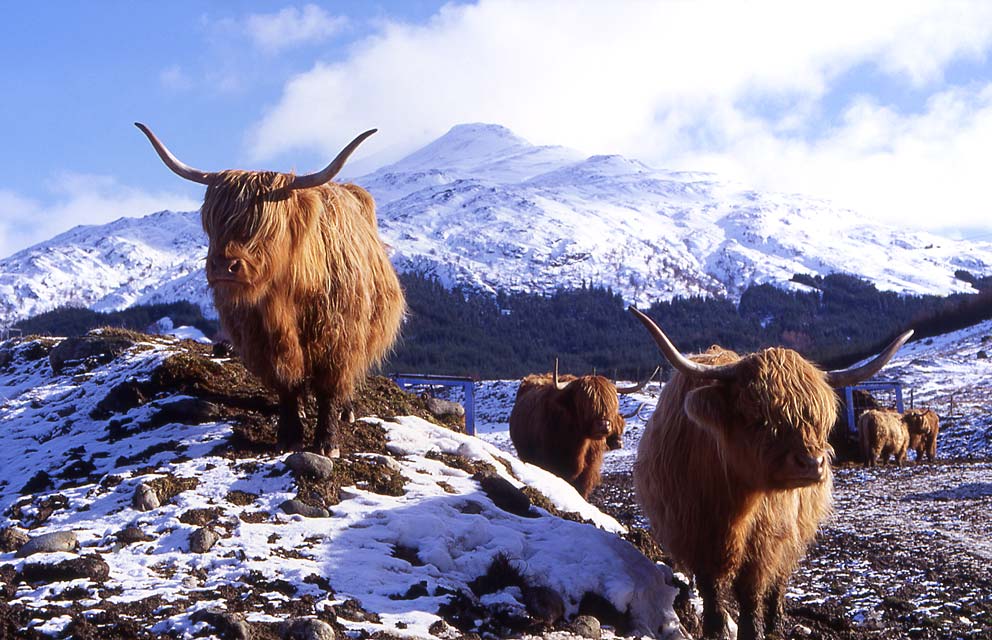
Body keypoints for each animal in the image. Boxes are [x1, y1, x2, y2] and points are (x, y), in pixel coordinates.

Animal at [137, 124, 406, 456]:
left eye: (266, 227)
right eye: (213, 223)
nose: (224, 266)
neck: (286, 300)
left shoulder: (340, 338)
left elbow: (330, 387)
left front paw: (327, 442)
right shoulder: (264, 340)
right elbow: (286, 383)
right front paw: (290, 433)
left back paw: (347, 410)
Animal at [632, 308, 912, 636]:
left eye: (818, 420)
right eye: (758, 418)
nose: (812, 463)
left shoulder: (766, 538)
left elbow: (751, 590)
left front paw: (753, 631)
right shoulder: (693, 533)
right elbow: (711, 589)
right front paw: (715, 629)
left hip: (794, 532)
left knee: (779, 578)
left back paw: (776, 623)